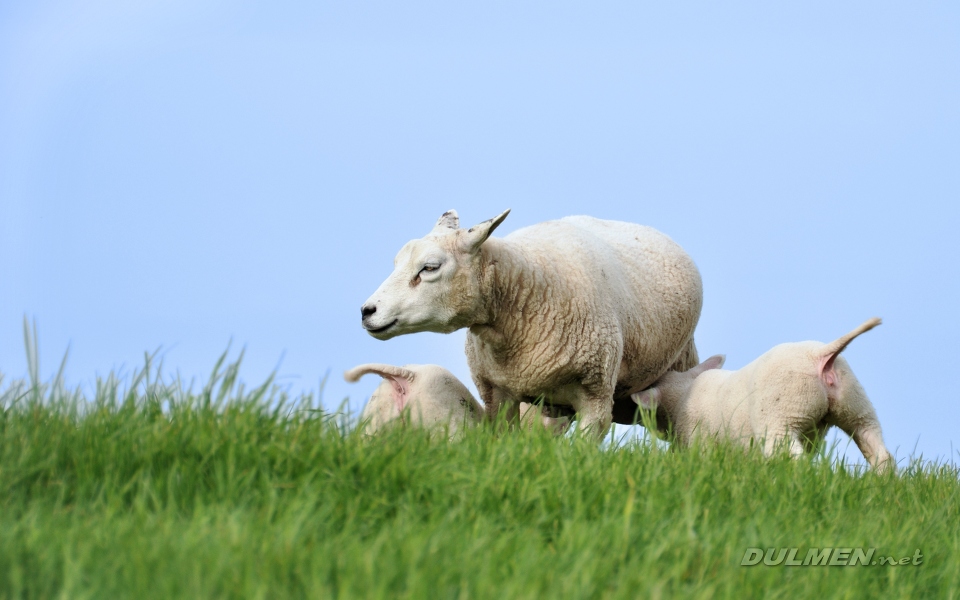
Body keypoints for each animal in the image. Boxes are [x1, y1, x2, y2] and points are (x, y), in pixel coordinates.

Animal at [631, 318, 895, 473]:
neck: (684, 391)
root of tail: (821, 356)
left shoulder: (700, 442)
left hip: (781, 417)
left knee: (795, 459)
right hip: (856, 404)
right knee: (879, 452)